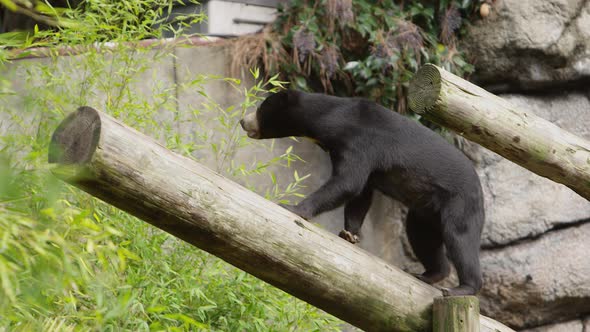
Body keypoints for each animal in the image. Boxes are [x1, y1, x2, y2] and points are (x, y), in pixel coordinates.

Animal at [240, 89, 486, 296]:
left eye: (261, 107)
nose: (242, 120)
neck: (330, 121)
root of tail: (480, 191)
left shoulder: (360, 142)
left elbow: (348, 182)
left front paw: (294, 207)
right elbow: (361, 193)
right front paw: (350, 234)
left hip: (459, 204)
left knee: (460, 239)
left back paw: (460, 289)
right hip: (426, 211)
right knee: (421, 236)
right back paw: (428, 275)